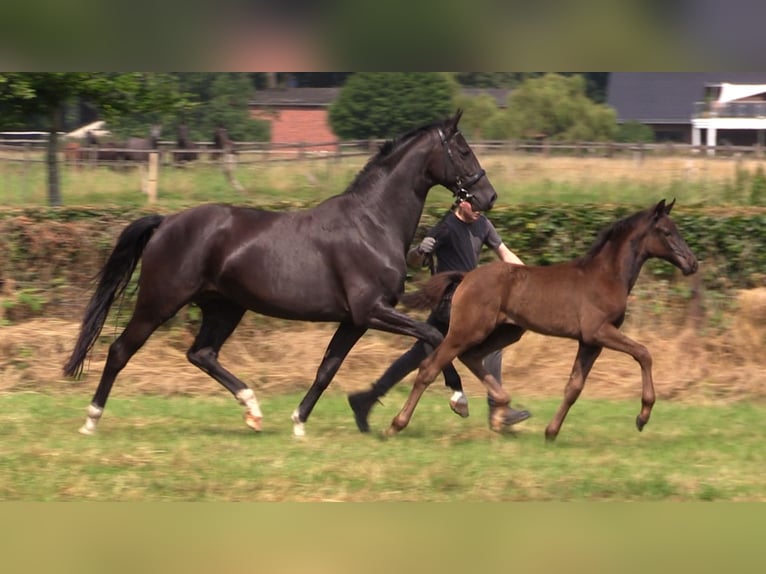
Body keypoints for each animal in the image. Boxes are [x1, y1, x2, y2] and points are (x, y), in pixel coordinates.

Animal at [64, 110, 498, 438]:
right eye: (462, 150)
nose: (488, 196)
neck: (372, 223)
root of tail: (166, 221)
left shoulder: (355, 320)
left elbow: (327, 369)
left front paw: (299, 422)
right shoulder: (372, 310)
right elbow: (434, 337)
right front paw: (459, 400)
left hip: (225, 308)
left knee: (201, 353)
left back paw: (253, 410)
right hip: (160, 302)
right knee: (120, 350)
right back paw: (90, 420)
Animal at [392, 200, 700, 444]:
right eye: (666, 232)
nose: (692, 264)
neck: (606, 275)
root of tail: (466, 277)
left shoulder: (590, 342)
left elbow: (574, 387)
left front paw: (551, 432)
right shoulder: (599, 331)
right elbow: (644, 353)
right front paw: (643, 416)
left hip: (507, 331)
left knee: (472, 357)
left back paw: (502, 402)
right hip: (468, 329)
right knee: (429, 367)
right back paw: (397, 424)